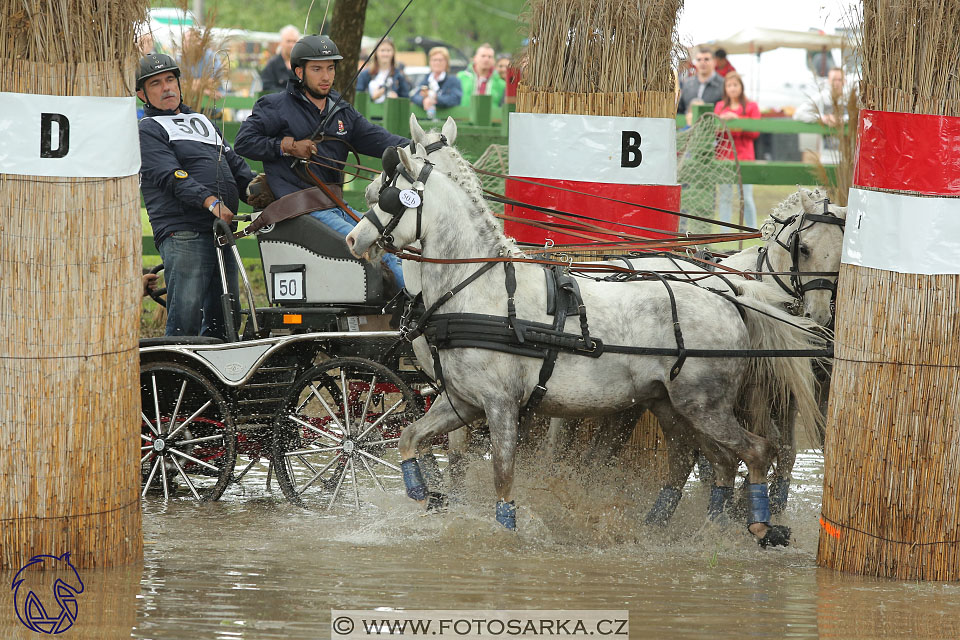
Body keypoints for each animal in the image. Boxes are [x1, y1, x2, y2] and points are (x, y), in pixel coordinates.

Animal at [348, 144, 828, 544]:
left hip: (705, 406)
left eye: (387, 198)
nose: (354, 239)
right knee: (711, 462)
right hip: (674, 407)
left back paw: (757, 526)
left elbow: (503, 477)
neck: (482, 289)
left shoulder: (501, 405)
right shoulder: (464, 402)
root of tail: (728, 295)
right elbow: (409, 438)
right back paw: (677, 528)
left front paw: (505, 530)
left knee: (757, 451)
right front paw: (422, 494)